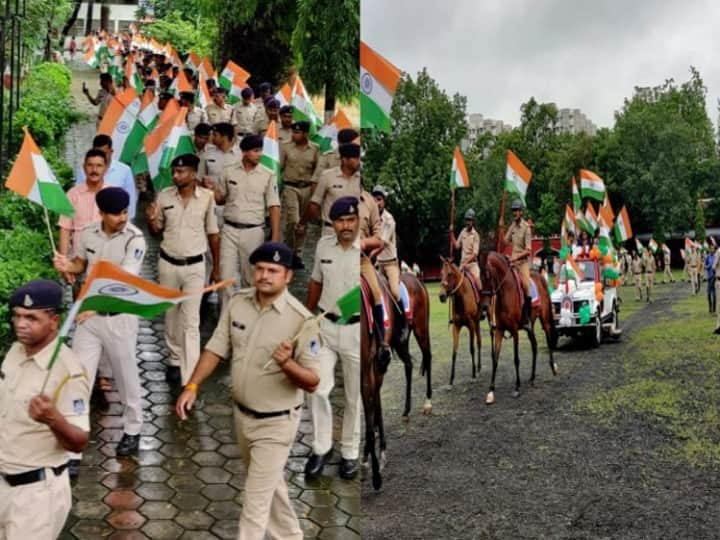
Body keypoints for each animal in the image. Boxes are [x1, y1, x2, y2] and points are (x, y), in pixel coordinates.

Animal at [360, 270, 434, 490]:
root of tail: (417, 279)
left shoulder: (368, 366)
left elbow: (371, 408)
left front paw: (375, 468)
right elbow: (373, 406)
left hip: (420, 327)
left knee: (428, 357)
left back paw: (427, 402)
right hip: (400, 342)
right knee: (409, 365)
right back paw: (406, 410)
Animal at [436, 256, 486, 384]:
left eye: (449, 274)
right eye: (441, 273)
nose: (441, 296)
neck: (462, 297)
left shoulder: (471, 325)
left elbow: (471, 348)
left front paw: (473, 375)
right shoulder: (456, 326)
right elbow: (454, 351)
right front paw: (451, 379)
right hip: (477, 323)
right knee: (479, 341)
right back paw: (479, 367)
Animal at [480, 251, 560, 402]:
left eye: (488, 276)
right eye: (479, 278)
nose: (484, 306)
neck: (505, 293)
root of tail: (540, 276)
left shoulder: (514, 331)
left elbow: (516, 359)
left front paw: (517, 387)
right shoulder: (499, 331)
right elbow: (495, 359)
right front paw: (491, 391)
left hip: (544, 318)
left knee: (548, 338)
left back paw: (554, 368)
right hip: (530, 326)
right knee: (534, 346)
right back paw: (532, 378)